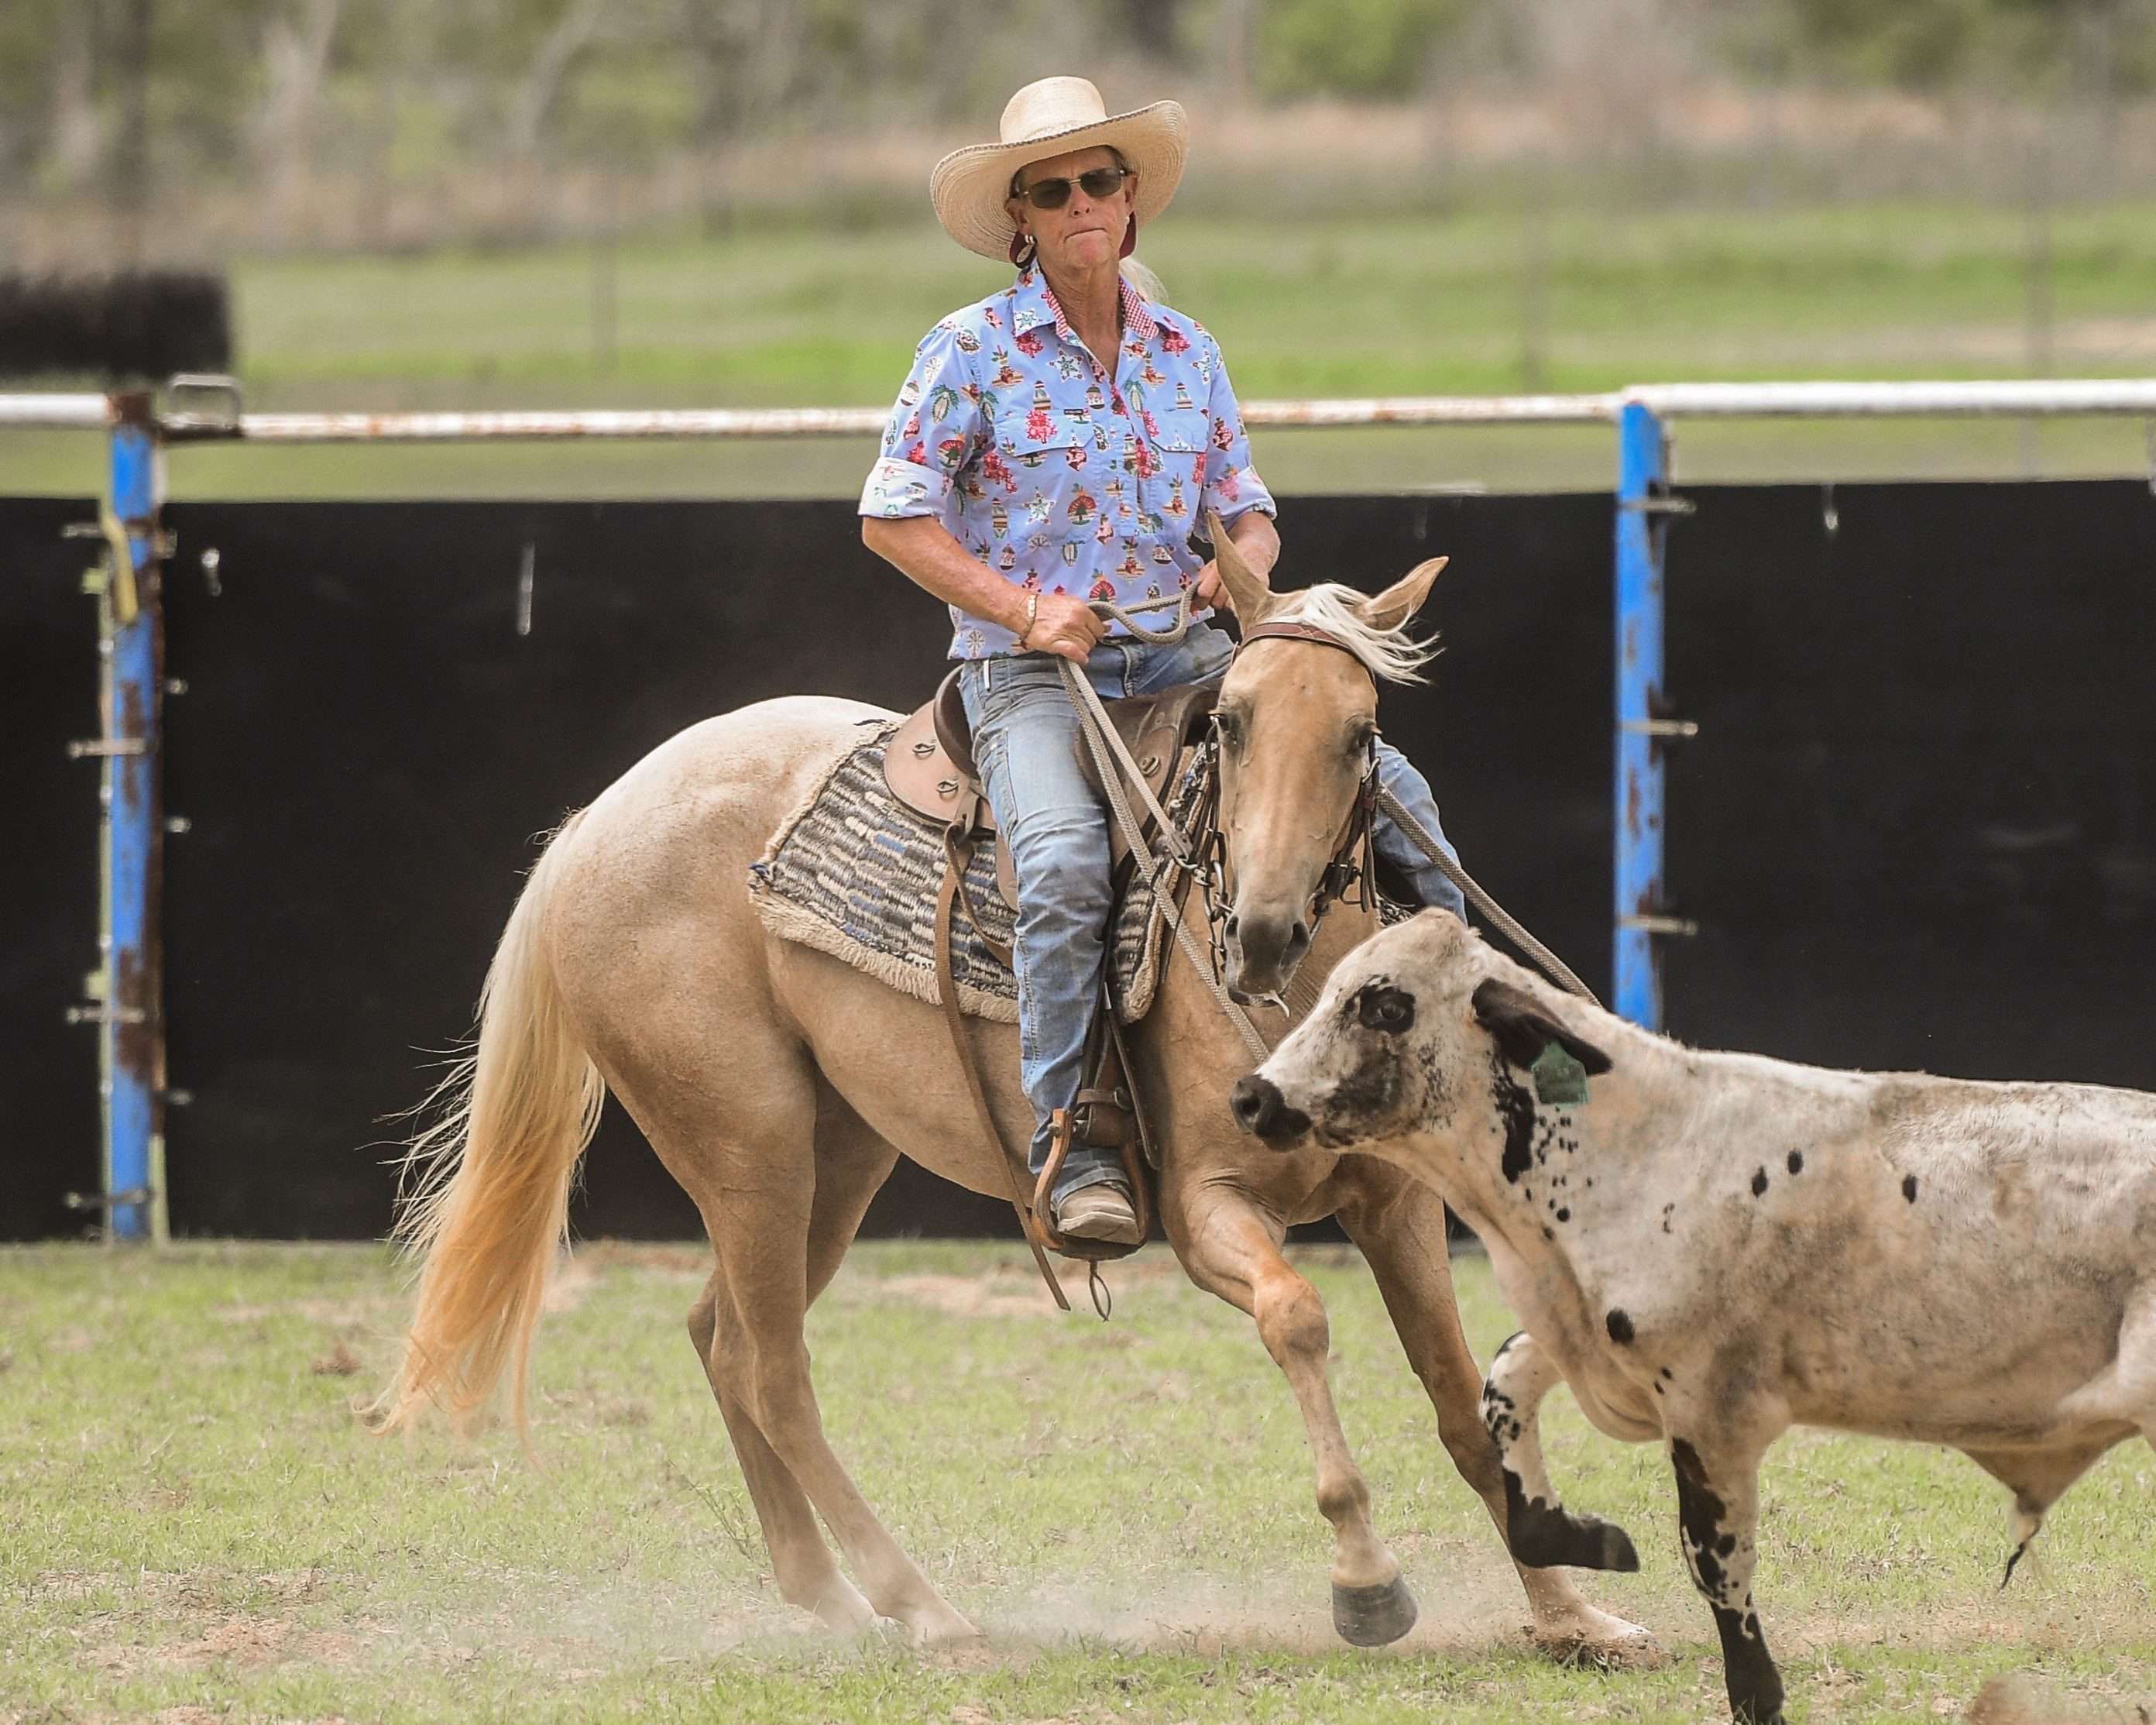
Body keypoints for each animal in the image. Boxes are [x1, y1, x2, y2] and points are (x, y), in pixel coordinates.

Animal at [366, 533, 1650, 1658]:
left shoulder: (1395, 1203)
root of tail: (595, 822)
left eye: (1362, 731)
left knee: (722, 1338)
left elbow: (1458, 1396)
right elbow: (1297, 1316)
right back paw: (923, 1606)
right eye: (1228, 722)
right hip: (748, 1144)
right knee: (775, 1370)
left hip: (838, 1151)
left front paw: (1569, 1615)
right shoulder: (1204, 1207)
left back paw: (830, 1593)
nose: (1265, 929)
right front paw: (1368, 1581)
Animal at [1229, 910, 2156, 1725]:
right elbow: (1504, 1393)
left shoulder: (1713, 1408)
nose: (1251, 1096)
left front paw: (1757, 1692)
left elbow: (1716, 1568)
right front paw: (1589, 1537)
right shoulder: (1584, 1336)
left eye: (1384, 1004)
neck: (1637, 1145)